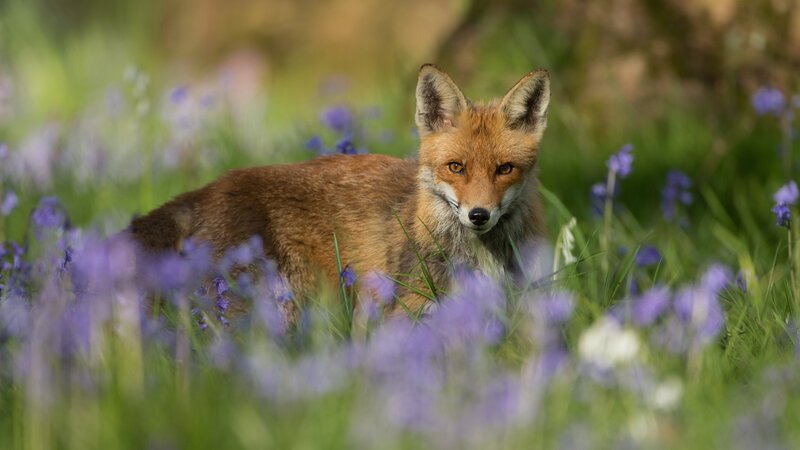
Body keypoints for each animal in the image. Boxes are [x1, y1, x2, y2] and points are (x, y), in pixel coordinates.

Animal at [129, 64, 551, 316]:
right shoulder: (408, 311)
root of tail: (212, 187)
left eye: (504, 169)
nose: (478, 215)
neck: (481, 254)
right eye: (456, 167)